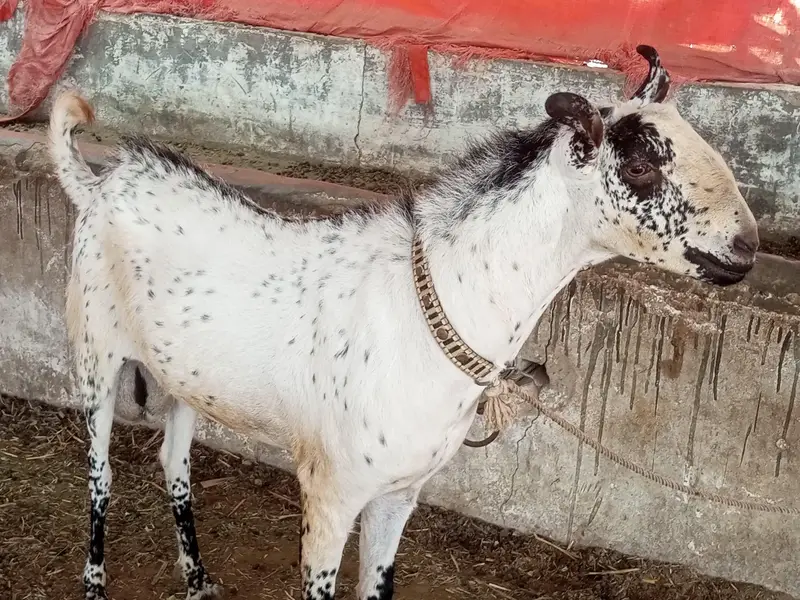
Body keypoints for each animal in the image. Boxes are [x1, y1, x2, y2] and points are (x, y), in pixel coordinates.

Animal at [50, 45, 758, 600]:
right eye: (639, 164)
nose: (746, 246)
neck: (429, 307)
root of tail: (100, 184)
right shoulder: (329, 494)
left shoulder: (400, 494)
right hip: (94, 358)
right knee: (102, 476)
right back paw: (95, 582)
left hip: (187, 378)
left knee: (174, 459)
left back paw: (197, 578)